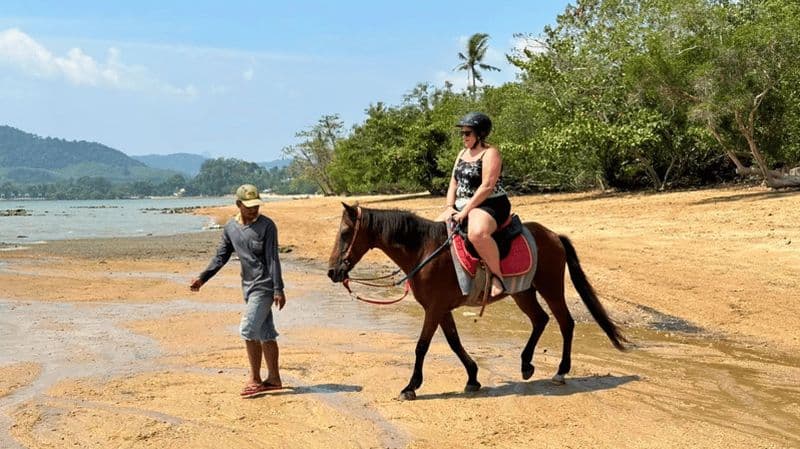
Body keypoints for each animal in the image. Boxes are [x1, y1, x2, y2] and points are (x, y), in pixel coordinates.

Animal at [327, 203, 627, 400]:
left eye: (344, 233)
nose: (332, 272)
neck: (423, 251)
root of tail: (554, 236)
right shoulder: (441, 309)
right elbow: (454, 342)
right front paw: (472, 377)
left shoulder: (434, 309)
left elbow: (422, 346)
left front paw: (410, 387)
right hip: (523, 292)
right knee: (540, 320)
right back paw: (526, 365)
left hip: (551, 288)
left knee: (565, 323)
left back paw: (561, 372)